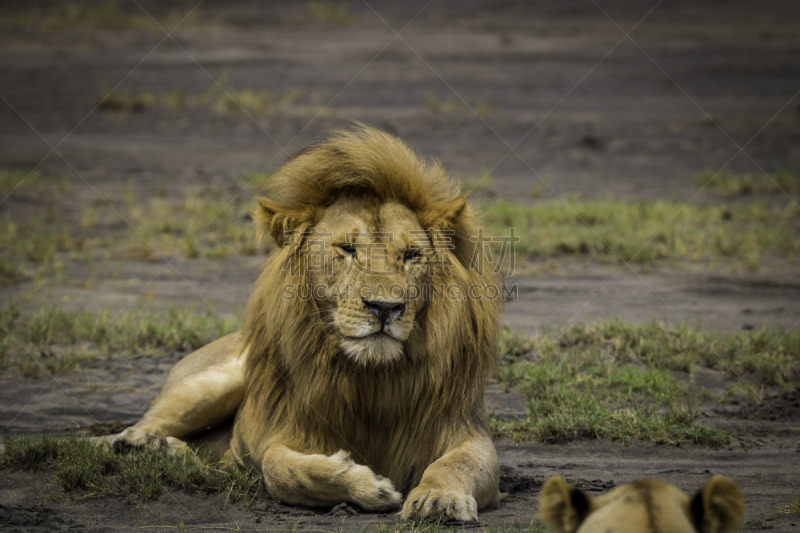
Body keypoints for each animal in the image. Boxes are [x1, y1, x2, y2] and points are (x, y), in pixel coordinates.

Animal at [112, 123, 500, 520]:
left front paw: (440, 498)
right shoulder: (286, 432)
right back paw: (139, 446)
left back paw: (171, 452)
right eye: (348, 250)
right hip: (213, 382)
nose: (384, 307)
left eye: (411, 255)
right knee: (128, 431)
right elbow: (280, 469)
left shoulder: (467, 430)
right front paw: (366, 485)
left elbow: (457, 464)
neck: (373, 381)